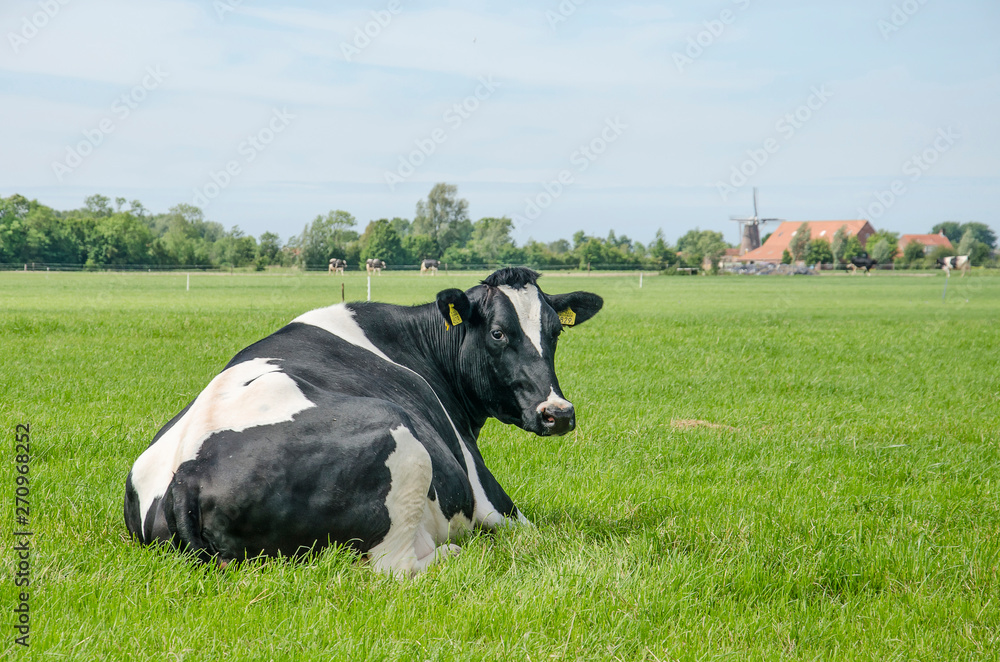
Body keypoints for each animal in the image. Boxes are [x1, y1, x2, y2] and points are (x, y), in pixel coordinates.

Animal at [123, 268, 603, 578]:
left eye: (555, 332)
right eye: (499, 333)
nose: (558, 412)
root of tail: (188, 473)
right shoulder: (487, 493)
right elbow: (536, 532)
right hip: (402, 446)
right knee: (397, 567)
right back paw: (455, 554)